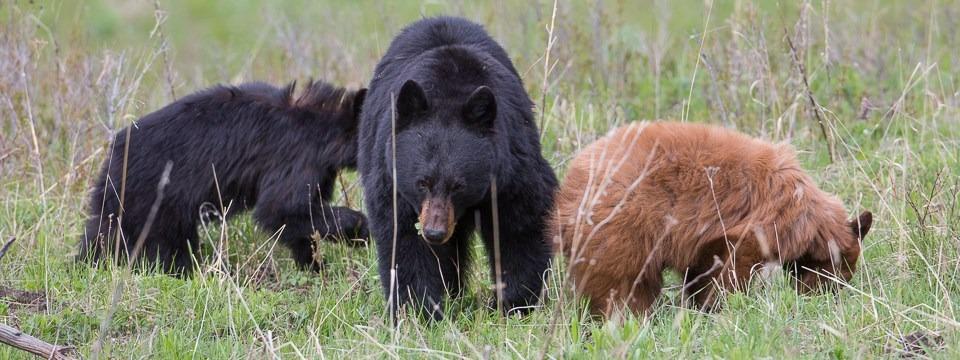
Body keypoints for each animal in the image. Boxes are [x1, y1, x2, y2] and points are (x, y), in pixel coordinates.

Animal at [80, 80, 372, 274]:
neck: (324, 127)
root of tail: (111, 158)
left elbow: (298, 220)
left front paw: (314, 264)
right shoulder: (297, 158)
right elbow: (280, 208)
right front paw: (362, 230)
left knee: (103, 234)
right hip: (153, 198)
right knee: (164, 244)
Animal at [358, 16, 556, 320]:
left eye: (459, 185)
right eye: (422, 182)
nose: (434, 232)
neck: (447, 90)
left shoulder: (510, 169)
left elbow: (520, 224)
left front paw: (513, 303)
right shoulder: (391, 179)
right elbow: (404, 239)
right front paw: (420, 309)